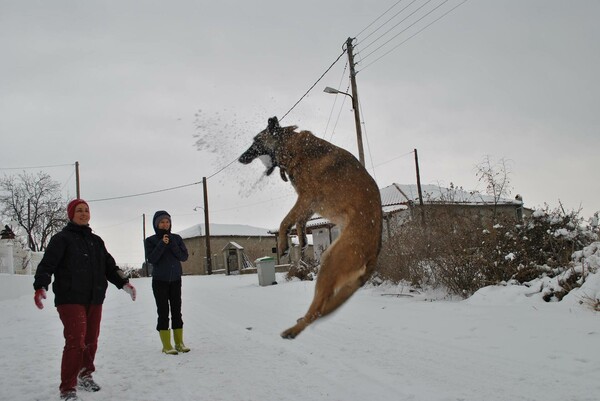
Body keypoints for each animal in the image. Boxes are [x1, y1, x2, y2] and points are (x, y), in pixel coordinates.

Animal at [238, 115, 382, 338]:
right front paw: (302, 239)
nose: (240, 158)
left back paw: (293, 330)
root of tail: (374, 253)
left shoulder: (306, 197)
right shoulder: (309, 204)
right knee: (320, 308)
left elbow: (285, 220)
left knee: (317, 310)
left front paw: (283, 244)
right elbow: (298, 221)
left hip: (330, 261)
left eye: (256, 141)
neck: (293, 147)